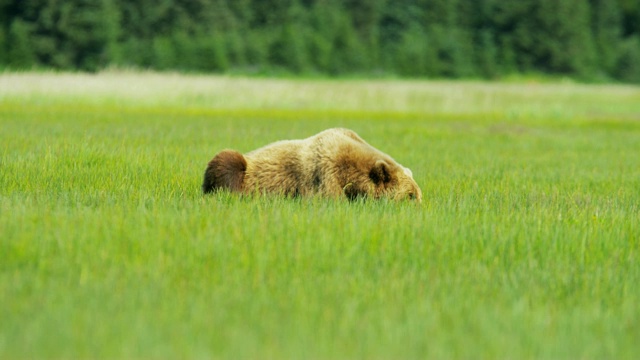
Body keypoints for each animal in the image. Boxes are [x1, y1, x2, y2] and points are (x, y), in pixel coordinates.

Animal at [202, 128, 422, 202]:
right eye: (410, 196)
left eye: (419, 195)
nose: (420, 206)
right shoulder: (324, 172)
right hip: (244, 167)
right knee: (227, 162)